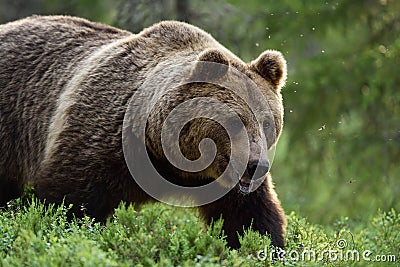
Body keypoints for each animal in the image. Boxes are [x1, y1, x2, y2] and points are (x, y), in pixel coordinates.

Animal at [0, 15, 288, 249]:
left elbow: (249, 218)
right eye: (235, 120)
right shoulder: (103, 141)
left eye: (266, 123)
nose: (256, 166)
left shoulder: (223, 181)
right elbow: (68, 200)